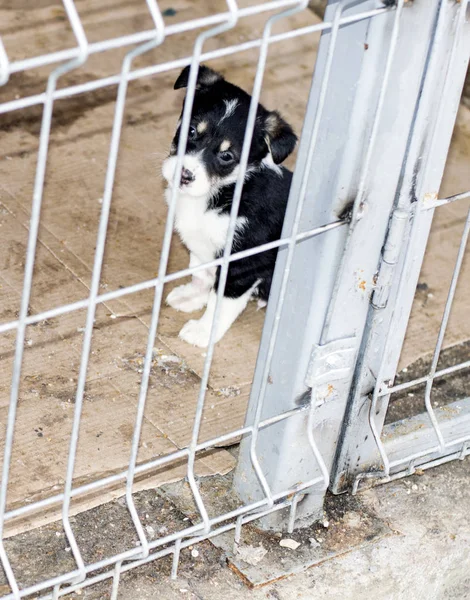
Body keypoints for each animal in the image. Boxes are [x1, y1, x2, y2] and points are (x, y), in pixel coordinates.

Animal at [161, 65, 294, 346]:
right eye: (191, 130)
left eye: (227, 156)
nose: (184, 175)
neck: (224, 192)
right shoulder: (201, 246)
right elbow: (200, 274)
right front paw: (190, 297)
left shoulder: (242, 264)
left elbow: (220, 302)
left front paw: (202, 332)